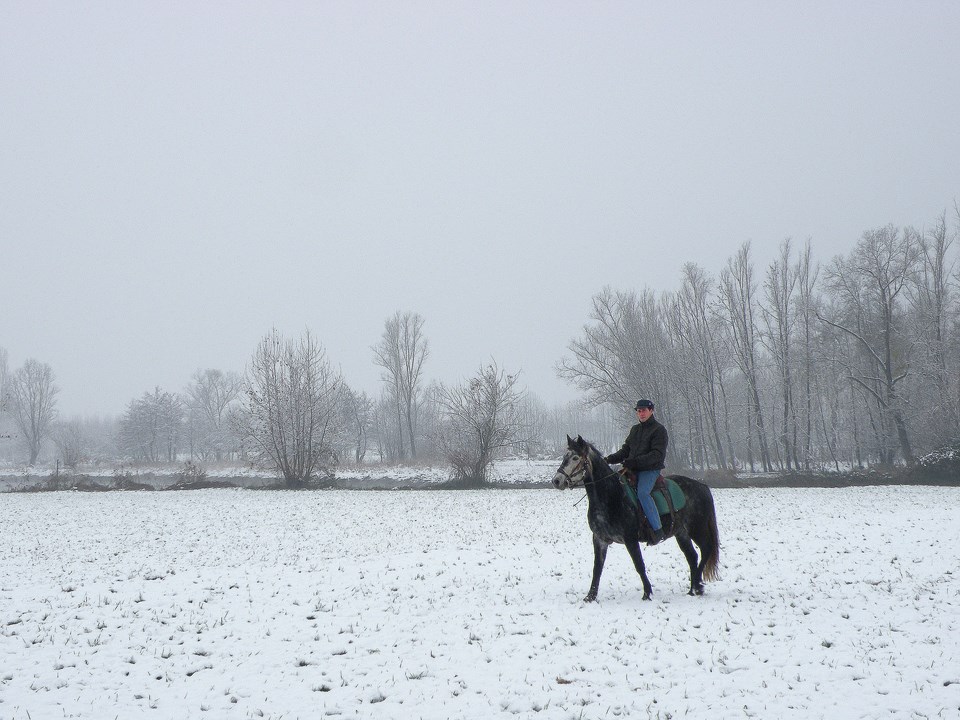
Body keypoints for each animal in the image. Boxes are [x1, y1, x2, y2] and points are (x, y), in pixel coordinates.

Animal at [552, 436, 716, 600]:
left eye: (575, 458)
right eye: (564, 456)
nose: (556, 480)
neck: (611, 497)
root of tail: (702, 486)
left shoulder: (630, 539)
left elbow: (639, 565)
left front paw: (647, 593)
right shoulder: (599, 539)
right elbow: (597, 568)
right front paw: (590, 596)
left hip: (697, 528)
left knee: (706, 549)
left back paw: (698, 585)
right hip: (681, 533)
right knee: (692, 556)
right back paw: (692, 589)